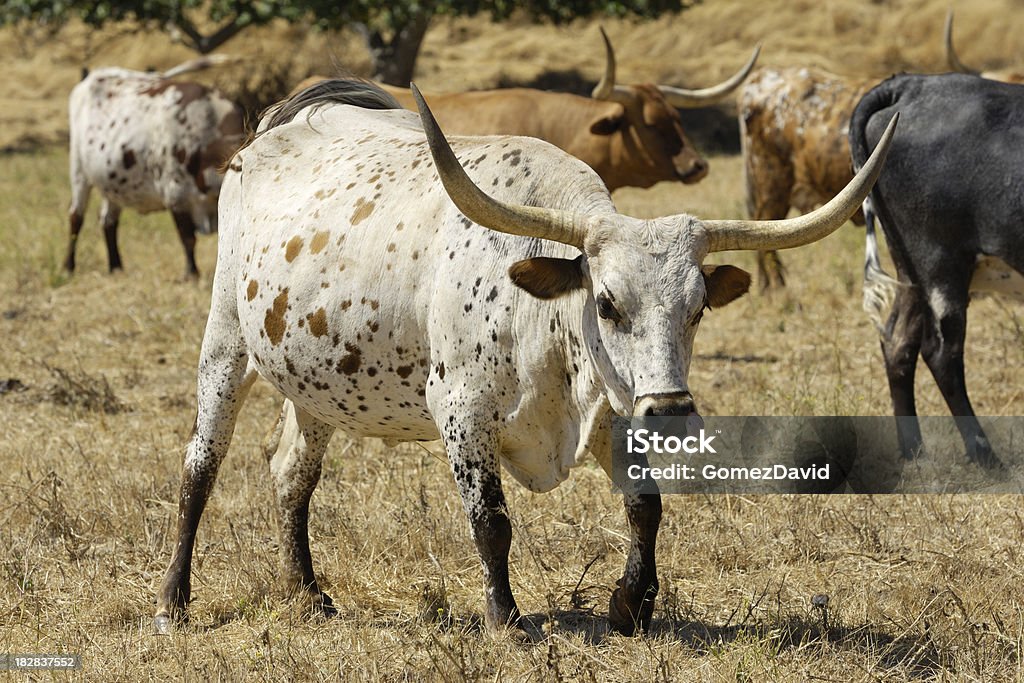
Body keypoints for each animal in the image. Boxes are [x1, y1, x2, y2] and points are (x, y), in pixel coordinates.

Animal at [66, 54, 245, 276]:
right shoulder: (176, 195)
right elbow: (188, 238)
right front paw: (191, 273)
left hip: (112, 179)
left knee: (108, 220)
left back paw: (116, 267)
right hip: (79, 171)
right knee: (76, 217)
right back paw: (69, 266)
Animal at [847, 73, 1024, 471]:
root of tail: (912, 84)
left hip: (911, 269)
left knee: (898, 342)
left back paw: (913, 450)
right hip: (940, 263)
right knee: (941, 353)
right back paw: (984, 453)